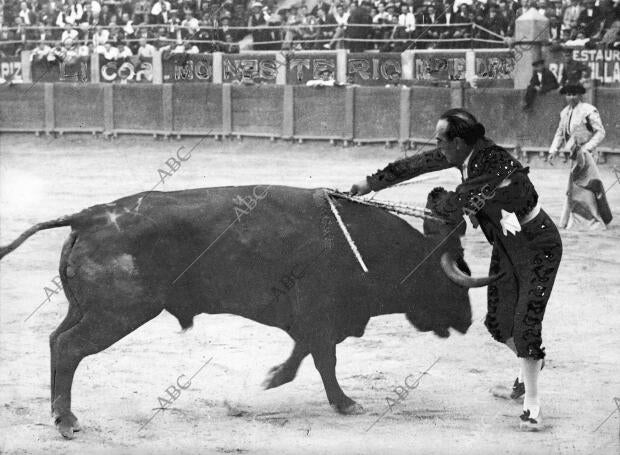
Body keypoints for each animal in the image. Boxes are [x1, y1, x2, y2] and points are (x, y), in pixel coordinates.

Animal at [0, 184, 496, 438]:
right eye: (452, 275)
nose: (470, 321)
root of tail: (89, 215)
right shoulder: (320, 314)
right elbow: (325, 358)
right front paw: (344, 402)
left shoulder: (310, 319)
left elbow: (307, 354)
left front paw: (276, 378)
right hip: (118, 314)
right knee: (69, 348)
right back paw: (66, 422)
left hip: (86, 309)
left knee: (55, 341)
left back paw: (60, 414)